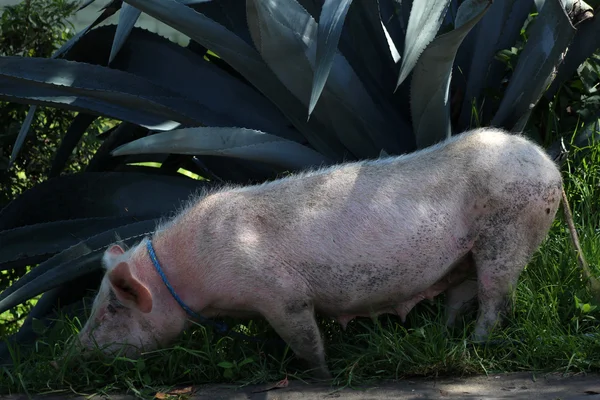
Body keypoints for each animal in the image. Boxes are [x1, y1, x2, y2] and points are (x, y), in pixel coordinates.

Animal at [77, 127, 564, 378]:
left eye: (112, 309)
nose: (74, 353)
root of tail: (549, 165)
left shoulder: (282, 295)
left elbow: (308, 341)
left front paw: (320, 376)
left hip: (510, 231)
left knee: (496, 299)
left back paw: (476, 347)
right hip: (467, 253)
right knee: (462, 295)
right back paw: (447, 339)